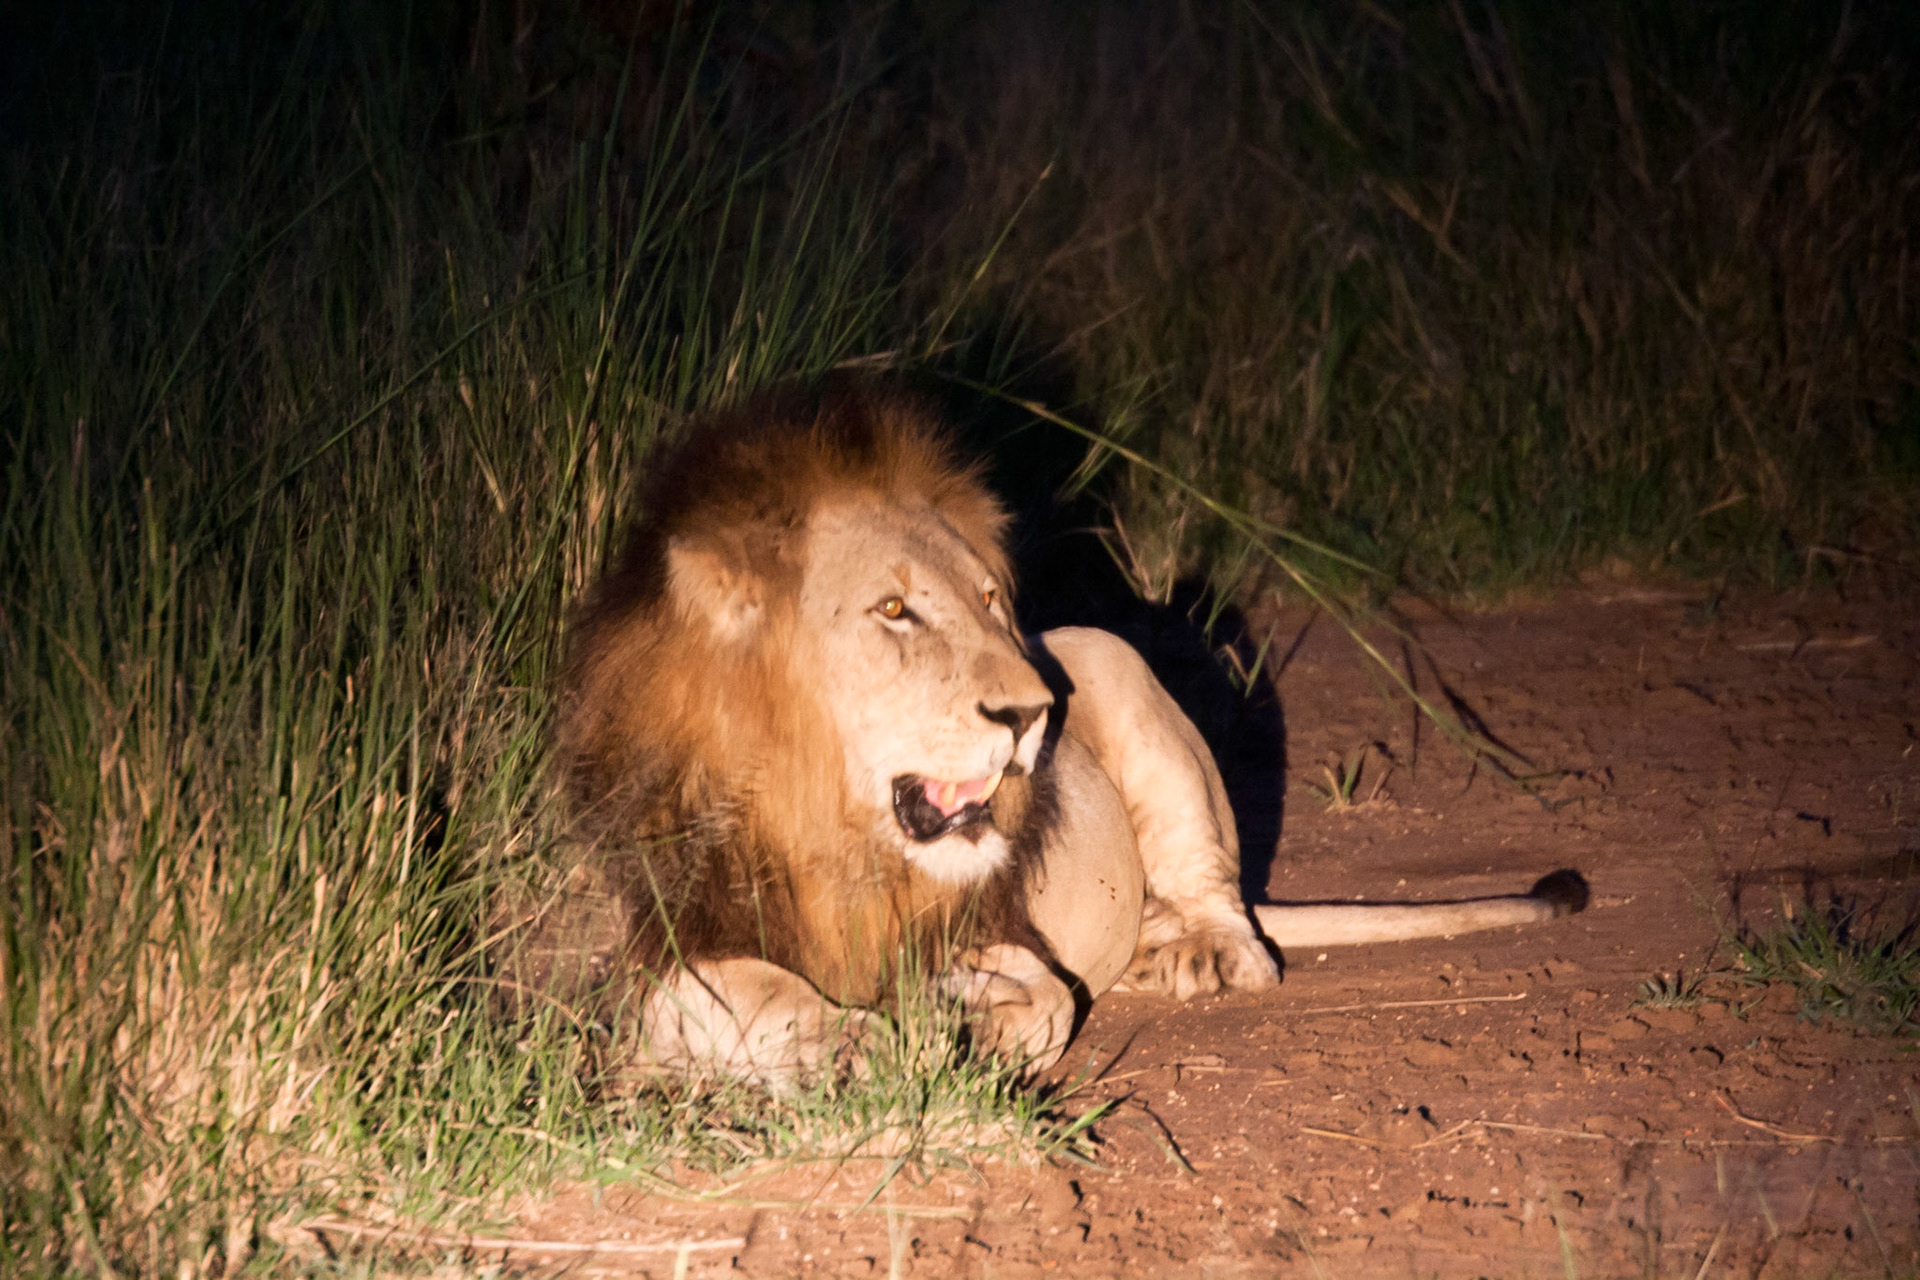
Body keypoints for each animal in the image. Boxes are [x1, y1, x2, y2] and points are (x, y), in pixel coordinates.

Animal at [543, 383, 1587, 1086]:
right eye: (894, 611)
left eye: (990, 601)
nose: (1031, 713)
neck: (830, 828)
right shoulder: (646, 957)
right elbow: (758, 996)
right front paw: (854, 1044)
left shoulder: (994, 926)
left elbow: (1046, 1000)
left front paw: (976, 1024)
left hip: (1118, 664)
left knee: (1227, 905)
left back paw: (1205, 955)